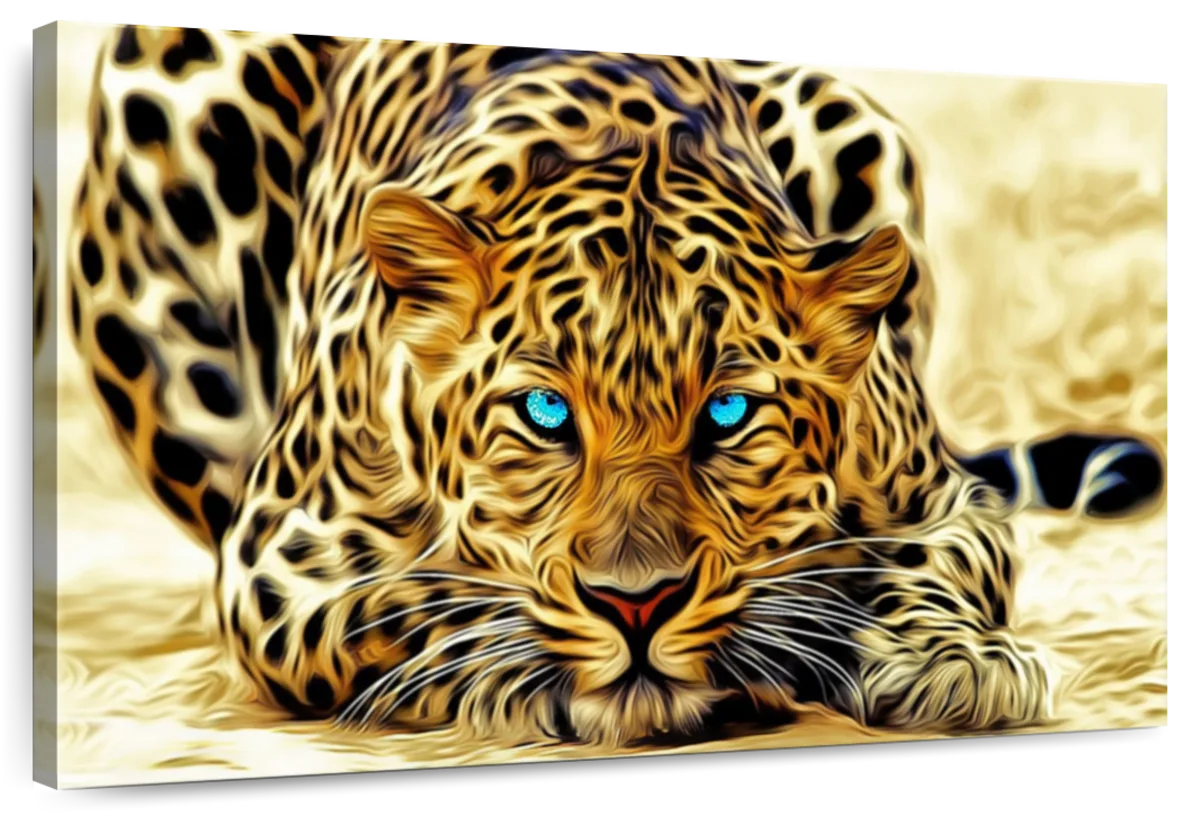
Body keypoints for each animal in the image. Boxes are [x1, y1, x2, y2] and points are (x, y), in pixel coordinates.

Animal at [37, 25, 1165, 747]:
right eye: (545, 413)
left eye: (728, 413)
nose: (638, 604)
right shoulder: (280, 558)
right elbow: (407, 602)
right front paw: (515, 669)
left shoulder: (942, 497)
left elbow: (930, 564)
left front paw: (951, 659)